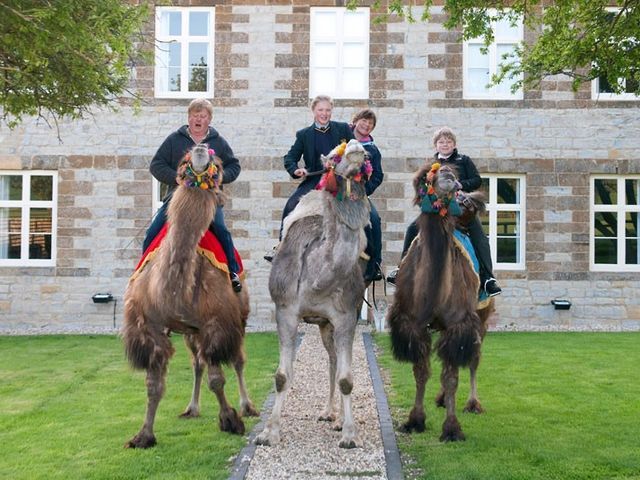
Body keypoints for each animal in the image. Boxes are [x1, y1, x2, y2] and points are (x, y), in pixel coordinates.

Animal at [122, 142, 258, 450]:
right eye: (183, 161)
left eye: (218, 166)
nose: (200, 146)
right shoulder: (151, 327)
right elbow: (154, 386)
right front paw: (143, 435)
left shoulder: (217, 323)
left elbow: (217, 380)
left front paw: (230, 420)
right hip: (188, 331)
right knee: (197, 363)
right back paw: (191, 408)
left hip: (239, 317)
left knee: (238, 360)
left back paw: (247, 407)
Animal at [255, 139, 372, 450]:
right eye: (334, 157)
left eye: (367, 155)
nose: (357, 147)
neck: (319, 280)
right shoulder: (285, 310)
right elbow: (282, 376)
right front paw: (268, 433)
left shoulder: (346, 316)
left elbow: (347, 378)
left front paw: (350, 435)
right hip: (321, 324)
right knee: (331, 358)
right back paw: (328, 413)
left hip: (331, 322)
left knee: (336, 361)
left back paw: (336, 418)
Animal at [384, 162, 496, 442]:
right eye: (432, 176)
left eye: (454, 174)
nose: (453, 182)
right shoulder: (414, 324)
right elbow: (421, 372)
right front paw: (415, 420)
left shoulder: (458, 324)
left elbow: (452, 376)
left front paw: (452, 429)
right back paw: (443, 400)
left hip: (482, 317)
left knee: (474, 358)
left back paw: (472, 404)